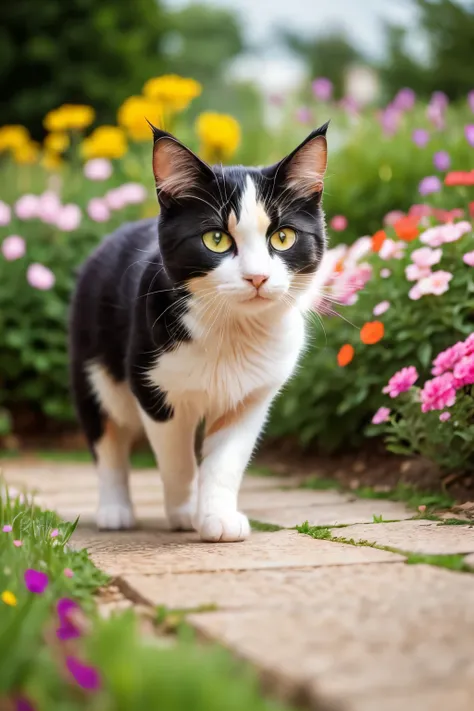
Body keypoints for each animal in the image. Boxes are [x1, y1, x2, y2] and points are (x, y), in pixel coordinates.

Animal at [70, 122, 328, 544]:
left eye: (283, 237)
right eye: (216, 239)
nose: (257, 277)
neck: (232, 332)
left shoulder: (253, 395)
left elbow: (225, 460)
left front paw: (217, 517)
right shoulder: (154, 389)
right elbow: (176, 460)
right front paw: (184, 511)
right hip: (94, 367)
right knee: (107, 437)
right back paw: (114, 509)